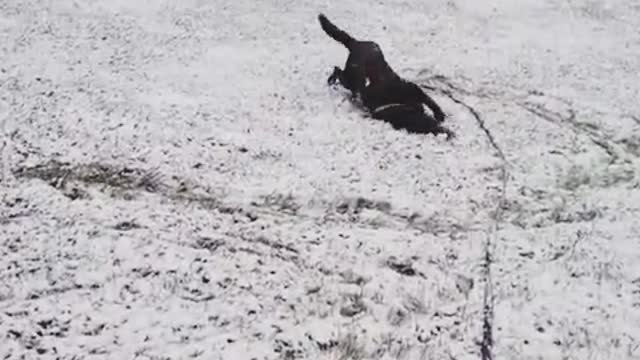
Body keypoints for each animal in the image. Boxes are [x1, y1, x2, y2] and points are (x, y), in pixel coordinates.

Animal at [318, 14, 450, 138]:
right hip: (351, 77)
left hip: (352, 77)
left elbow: (430, 101)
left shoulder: (414, 90)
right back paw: (333, 81)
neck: (401, 102)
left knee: (340, 72)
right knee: (339, 72)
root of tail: (356, 43)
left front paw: (440, 115)